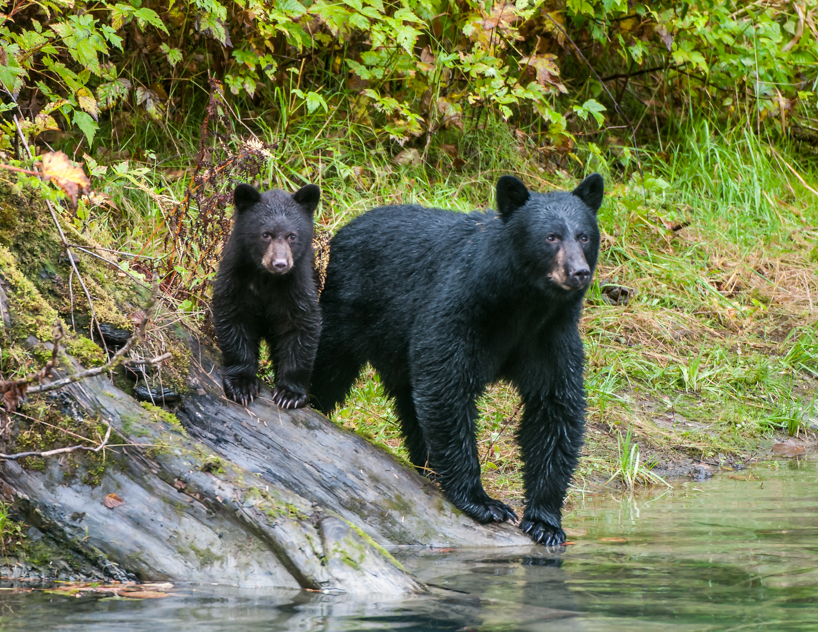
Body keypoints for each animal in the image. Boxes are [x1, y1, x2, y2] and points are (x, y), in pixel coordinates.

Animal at [212, 182, 321, 409]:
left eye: (292, 236)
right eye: (265, 234)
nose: (280, 263)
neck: (267, 280)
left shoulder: (296, 288)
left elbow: (302, 327)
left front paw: (290, 393)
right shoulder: (235, 280)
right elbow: (233, 320)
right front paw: (242, 385)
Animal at [310, 173, 603, 546]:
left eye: (584, 236)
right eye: (550, 237)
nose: (578, 272)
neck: (523, 302)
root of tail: (345, 229)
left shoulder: (550, 334)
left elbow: (554, 407)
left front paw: (545, 521)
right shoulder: (462, 307)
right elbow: (447, 385)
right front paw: (484, 502)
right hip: (347, 307)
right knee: (326, 365)